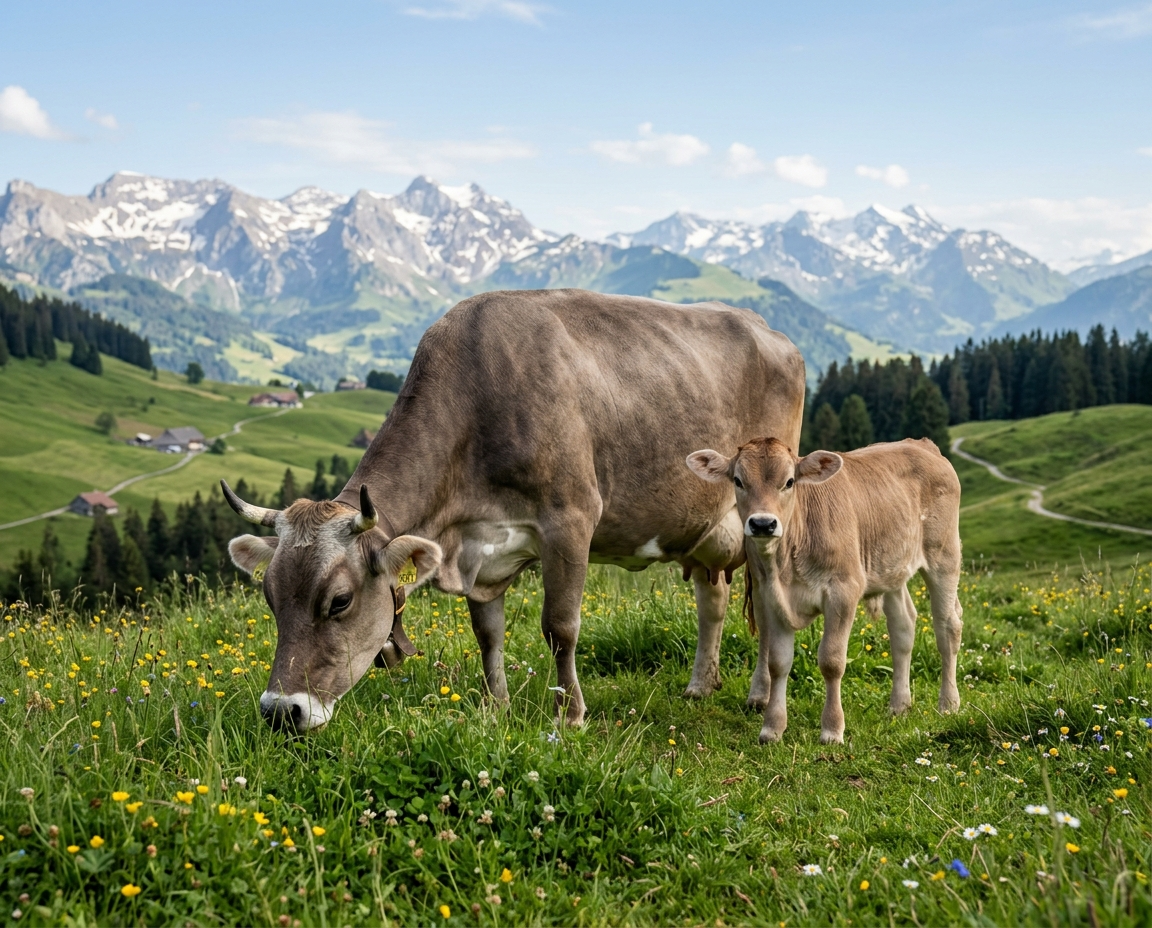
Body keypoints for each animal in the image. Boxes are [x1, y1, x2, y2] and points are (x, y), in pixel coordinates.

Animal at [224, 289, 806, 731]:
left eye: (339, 601)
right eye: (270, 598)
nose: (281, 711)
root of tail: (770, 331)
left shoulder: (571, 519)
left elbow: (560, 627)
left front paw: (570, 714)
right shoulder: (480, 550)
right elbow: (488, 633)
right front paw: (496, 706)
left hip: (762, 518)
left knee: (765, 601)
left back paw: (757, 695)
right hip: (704, 527)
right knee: (714, 599)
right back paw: (699, 685)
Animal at [686, 436, 962, 745]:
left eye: (789, 481)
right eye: (738, 480)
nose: (763, 524)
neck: (785, 563)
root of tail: (920, 443)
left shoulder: (843, 591)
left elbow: (831, 661)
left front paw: (832, 729)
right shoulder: (771, 597)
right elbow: (777, 662)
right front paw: (772, 728)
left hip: (944, 556)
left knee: (948, 627)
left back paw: (948, 704)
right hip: (891, 567)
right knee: (903, 626)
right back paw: (899, 705)